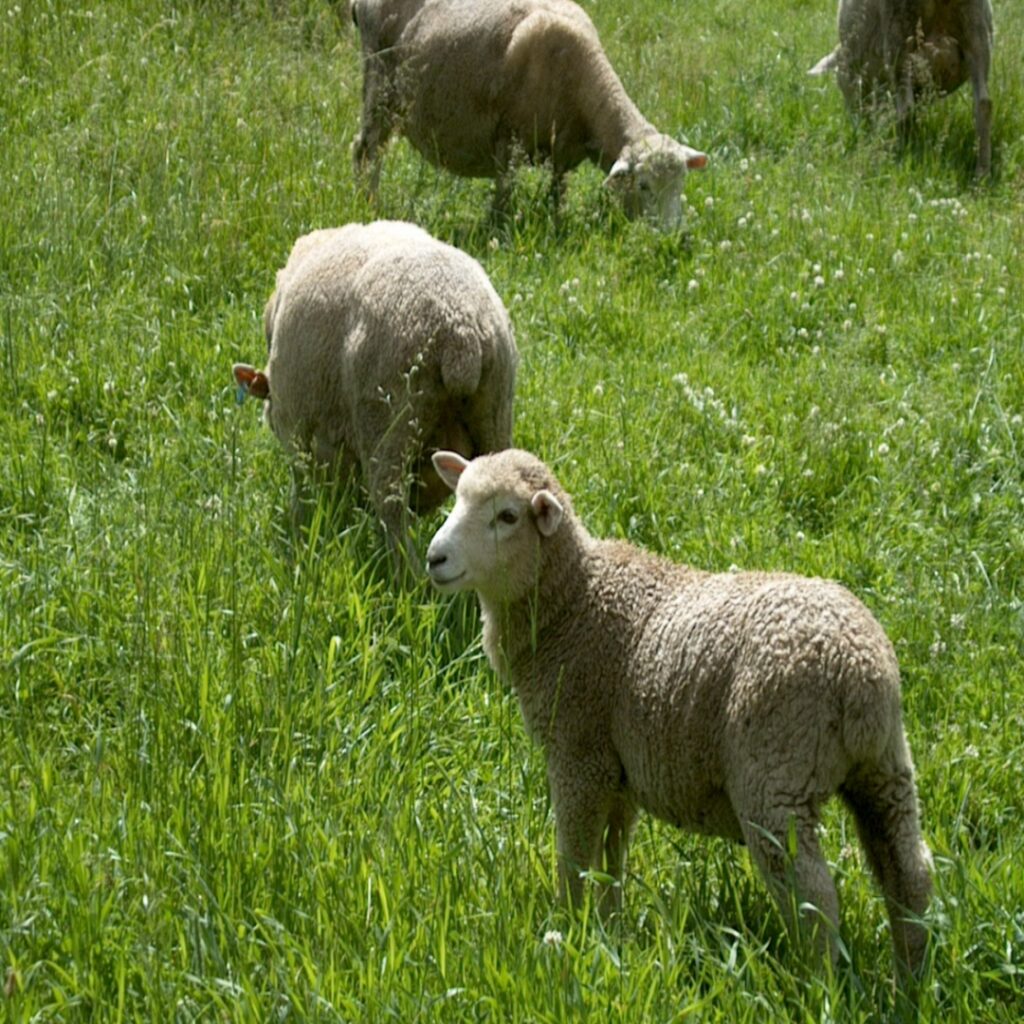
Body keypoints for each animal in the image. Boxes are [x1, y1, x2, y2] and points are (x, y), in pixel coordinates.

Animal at [233, 221, 517, 564]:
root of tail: (460, 331)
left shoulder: (297, 428)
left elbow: (302, 488)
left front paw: (301, 530)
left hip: (387, 419)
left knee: (390, 503)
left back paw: (402, 568)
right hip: (494, 412)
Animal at [350, 0, 707, 228]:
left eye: (680, 183)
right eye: (644, 186)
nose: (672, 236)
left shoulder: (564, 152)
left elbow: (557, 193)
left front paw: (556, 223)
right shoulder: (508, 140)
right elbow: (504, 192)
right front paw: (499, 230)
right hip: (379, 87)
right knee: (366, 151)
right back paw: (368, 203)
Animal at [425, 448, 932, 983]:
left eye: (507, 516)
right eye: (457, 499)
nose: (434, 558)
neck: (573, 603)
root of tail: (858, 671)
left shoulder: (579, 753)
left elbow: (575, 856)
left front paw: (567, 931)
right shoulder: (617, 770)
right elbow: (612, 856)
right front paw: (610, 930)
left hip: (775, 775)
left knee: (814, 895)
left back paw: (818, 986)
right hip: (885, 769)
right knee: (909, 873)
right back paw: (911, 981)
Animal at [809, 0, 994, 177]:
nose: (858, 126)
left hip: (899, 34)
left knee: (906, 109)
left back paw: (904, 154)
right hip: (974, 30)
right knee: (983, 103)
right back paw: (982, 171)